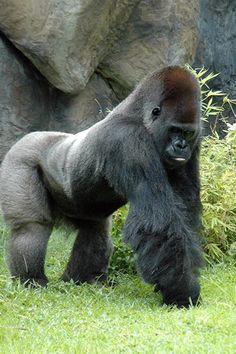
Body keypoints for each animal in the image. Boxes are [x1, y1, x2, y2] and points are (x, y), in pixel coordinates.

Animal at [0, 66, 203, 306]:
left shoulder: (195, 142)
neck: (139, 115)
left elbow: (185, 208)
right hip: (19, 159)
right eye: (174, 131)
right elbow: (157, 222)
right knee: (31, 228)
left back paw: (82, 279)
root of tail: (29, 136)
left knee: (95, 229)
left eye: (187, 133)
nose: (181, 146)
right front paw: (183, 291)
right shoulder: (127, 141)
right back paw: (31, 279)